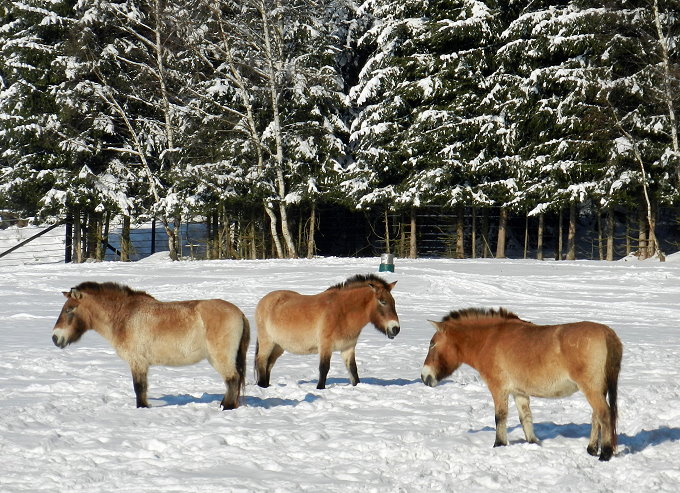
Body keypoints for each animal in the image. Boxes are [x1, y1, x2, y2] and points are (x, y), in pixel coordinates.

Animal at [51, 280, 250, 408]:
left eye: (69, 309)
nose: (55, 338)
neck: (124, 316)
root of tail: (239, 313)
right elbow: (143, 388)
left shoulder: (137, 362)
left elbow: (139, 388)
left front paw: (142, 408)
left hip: (220, 358)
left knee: (232, 379)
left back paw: (227, 407)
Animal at [258, 272, 402, 388]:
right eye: (382, 301)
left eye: (394, 302)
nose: (396, 329)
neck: (342, 312)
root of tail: (264, 300)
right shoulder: (325, 346)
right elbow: (324, 369)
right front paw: (319, 389)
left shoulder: (348, 348)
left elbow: (353, 370)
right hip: (267, 343)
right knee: (262, 362)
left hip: (278, 346)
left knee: (268, 365)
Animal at [422, 308, 624, 462]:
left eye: (432, 344)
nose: (424, 376)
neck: (489, 339)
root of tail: (608, 333)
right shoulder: (519, 393)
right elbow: (525, 417)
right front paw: (533, 442)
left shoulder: (499, 389)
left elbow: (500, 417)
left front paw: (499, 444)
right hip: (598, 389)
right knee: (597, 416)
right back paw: (591, 449)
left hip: (591, 389)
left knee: (604, 414)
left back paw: (605, 453)